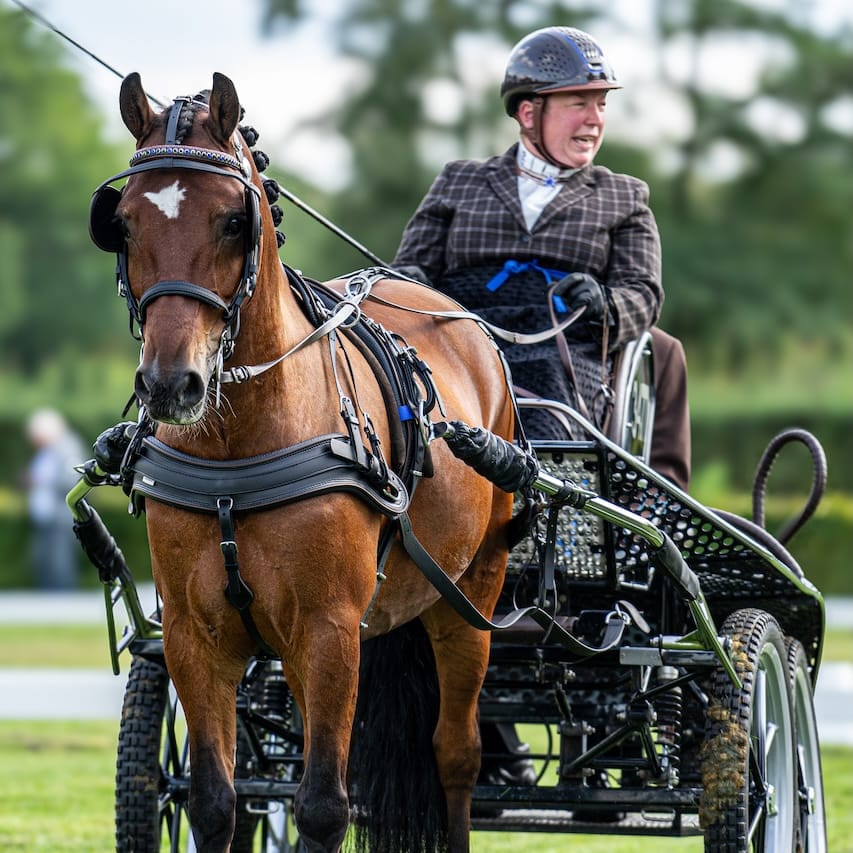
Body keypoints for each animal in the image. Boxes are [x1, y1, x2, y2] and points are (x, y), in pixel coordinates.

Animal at [92, 71, 516, 852]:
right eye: (125, 223)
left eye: (234, 221)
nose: (171, 384)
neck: (237, 455)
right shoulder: (195, 637)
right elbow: (214, 800)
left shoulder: (328, 631)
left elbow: (321, 803)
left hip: (469, 594)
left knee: (456, 755)